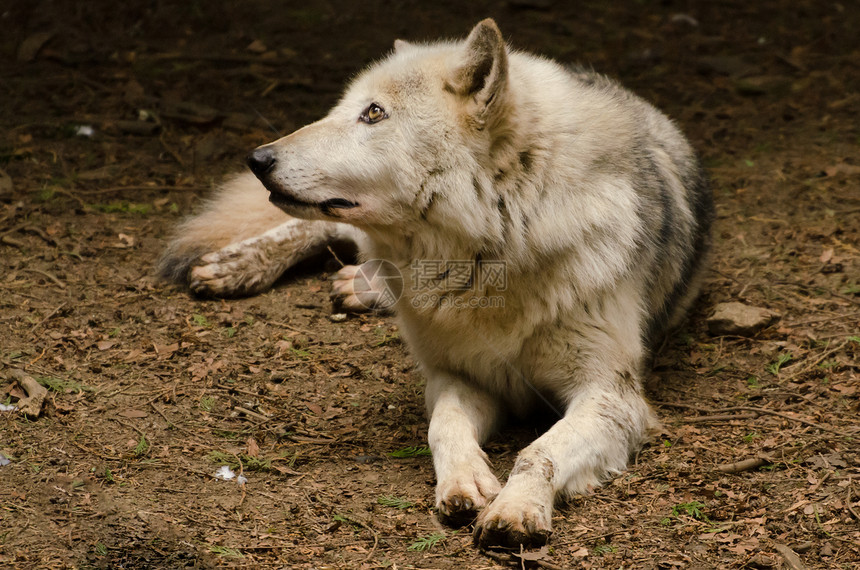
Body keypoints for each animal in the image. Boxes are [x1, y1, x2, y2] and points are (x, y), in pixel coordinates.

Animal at [158, 20, 716, 548]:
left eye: (373, 113)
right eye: (343, 108)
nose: (258, 159)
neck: (492, 253)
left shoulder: (611, 394)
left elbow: (539, 451)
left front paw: (516, 509)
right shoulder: (459, 375)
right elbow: (443, 427)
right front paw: (464, 484)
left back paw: (359, 286)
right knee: (325, 231)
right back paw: (233, 266)